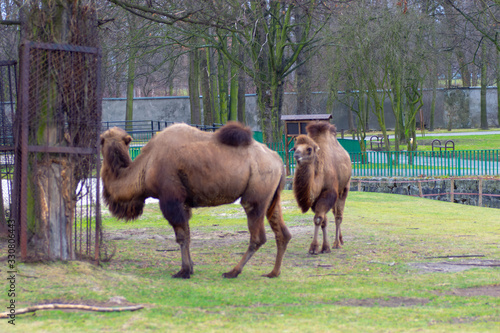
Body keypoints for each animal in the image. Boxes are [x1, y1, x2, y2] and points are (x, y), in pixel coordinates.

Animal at [99, 121, 292, 278]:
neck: (146, 165)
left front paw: (183, 271)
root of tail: (278, 160)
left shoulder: (170, 198)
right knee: (282, 233)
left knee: (257, 236)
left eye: (101, 140)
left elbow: (181, 236)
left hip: (255, 197)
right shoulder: (184, 202)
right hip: (272, 198)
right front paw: (190, 268)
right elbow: (188, 234)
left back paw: (233, 272)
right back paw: (273, 272)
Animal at [292, 122, 352, 254]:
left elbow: (318, 219)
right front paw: (325, 247)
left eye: (309, 149)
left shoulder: (329, 192)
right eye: (294, 147)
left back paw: (337, 243)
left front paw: (314, 248)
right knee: (335, 213)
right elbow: (323, 220)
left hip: (345, 187)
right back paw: (340, 240)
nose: (296, 155)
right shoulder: (316, 199)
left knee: (338, 216)